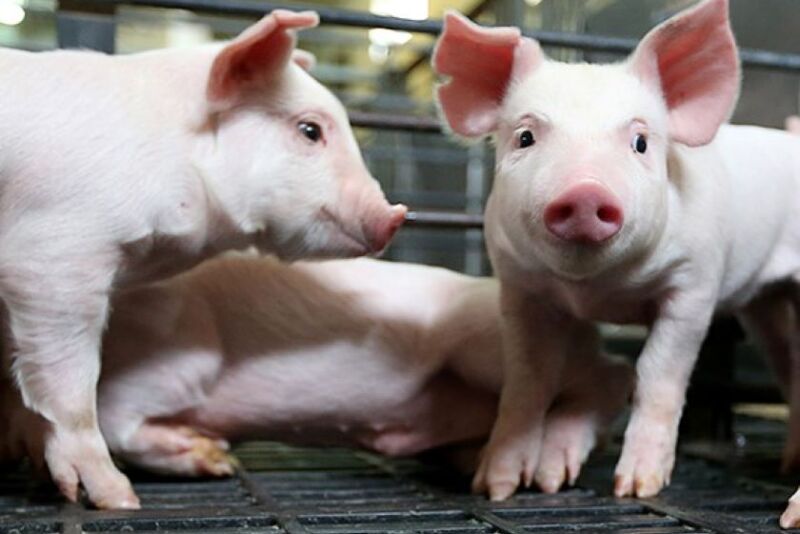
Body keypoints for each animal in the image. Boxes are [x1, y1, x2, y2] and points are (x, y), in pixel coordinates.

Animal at [1, 254, 633, 492]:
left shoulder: (176, 353)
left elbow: (108, 417)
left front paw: (216, 457)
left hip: (487, 346)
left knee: (614, 374)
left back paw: (549, 471)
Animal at [432, 0, 800, 521]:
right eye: (525, 137)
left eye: (640, 142)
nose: (585, 191)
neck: (598, 290)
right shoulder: (521, 287)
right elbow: (528, 379)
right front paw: (496, 487)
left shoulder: (694, 285)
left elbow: (658, 376)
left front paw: (636, 488)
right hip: (763, 304)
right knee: (788, 361)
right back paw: (790, 461)